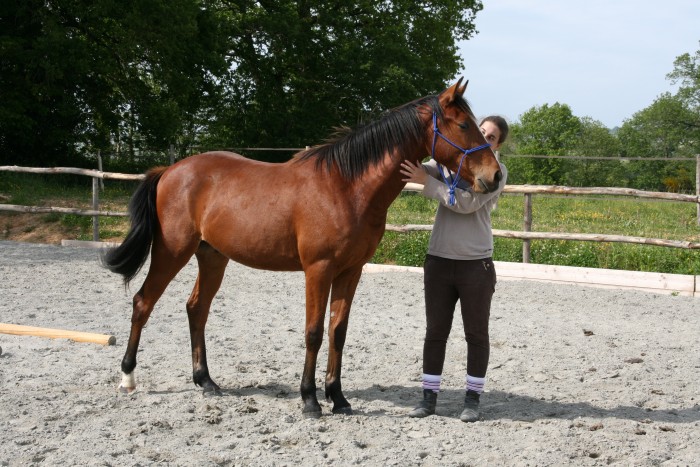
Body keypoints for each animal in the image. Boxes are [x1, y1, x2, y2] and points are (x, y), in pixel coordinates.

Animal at [103, 78, 502, 418]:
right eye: (463, 125)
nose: (495, 176)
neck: (347, 187)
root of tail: (170, 171)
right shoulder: (318, 270)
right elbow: (313, 332)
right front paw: (310, 399)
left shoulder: (351, 271)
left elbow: (338, 331)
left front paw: (338, 398)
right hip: (172, 251)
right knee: (143, 303)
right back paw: (127, 378)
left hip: (212, 257)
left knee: (196, 309)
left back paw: (206, 381)